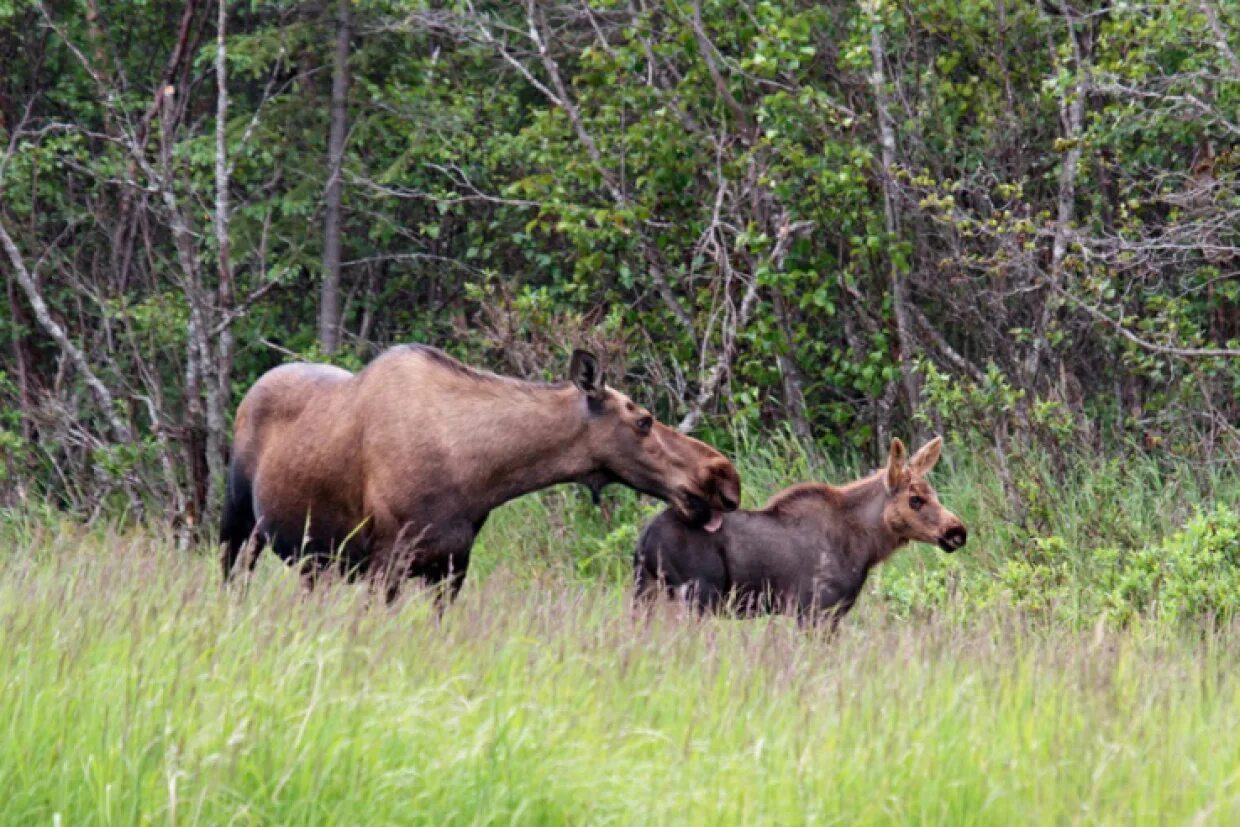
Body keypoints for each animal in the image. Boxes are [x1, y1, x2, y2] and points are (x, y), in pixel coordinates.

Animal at [223, 344, 739, 602]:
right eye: (644, 420)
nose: (723, 475)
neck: (477, 477)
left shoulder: (452, 565)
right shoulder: (387, 561)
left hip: (314, 560)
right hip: (239, 525)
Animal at [639, 436, 967, 624]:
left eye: (934, 494)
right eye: (915, 499)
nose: (957, 532)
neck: (866, 548)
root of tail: (643, 540)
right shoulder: (814, 609)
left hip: (646, 590)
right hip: (697, 596)